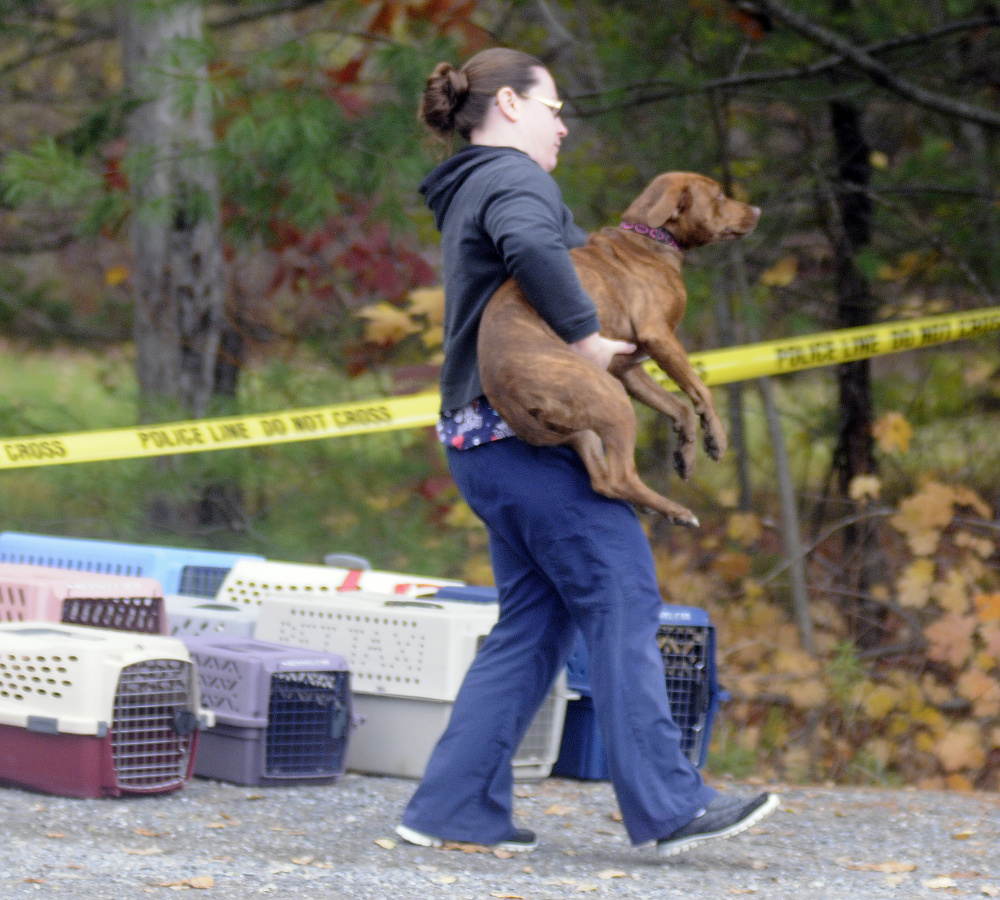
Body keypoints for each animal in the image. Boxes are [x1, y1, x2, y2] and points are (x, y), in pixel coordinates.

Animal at [480, 171, 760, 524]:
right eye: (720, 196)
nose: (758, 209)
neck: (651, 239)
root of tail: (504, 393)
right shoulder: (658, 337)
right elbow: (700, 391)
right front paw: (717, 440)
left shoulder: (627, 366)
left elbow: (677, 406)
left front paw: (686, 455)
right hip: (610, 399)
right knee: (619, 477)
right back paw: (678, 512)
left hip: (584, 425)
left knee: (602, 480)